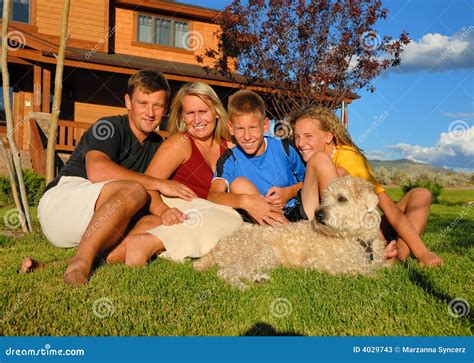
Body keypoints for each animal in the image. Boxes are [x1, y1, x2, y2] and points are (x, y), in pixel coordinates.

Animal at [193, 176, 388, 290]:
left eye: (342, 199)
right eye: (325, 198)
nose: (318, 215)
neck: (357, 237)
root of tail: (219, 245)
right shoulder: (323, 263)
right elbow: (357, 268)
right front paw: (374, 276)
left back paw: (259, 279)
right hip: (259, 252)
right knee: (226, 272)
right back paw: (242, 286)